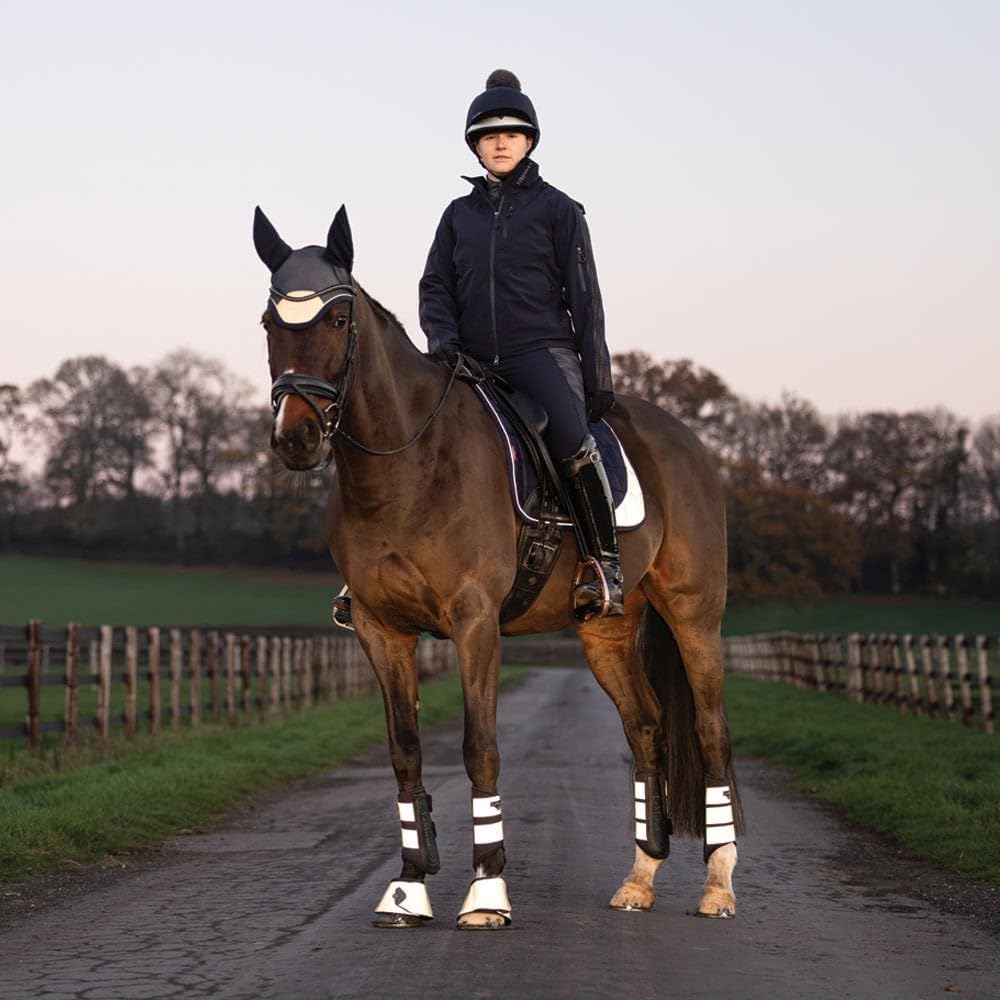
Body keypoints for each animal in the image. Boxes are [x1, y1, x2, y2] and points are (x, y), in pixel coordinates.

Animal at [253, 204, 744, 929]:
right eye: (268, 322)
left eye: (337, 320)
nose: (296, 436)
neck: (407, 466)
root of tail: (686, 441)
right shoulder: (381, 629)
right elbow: (405, 752)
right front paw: (408, 889)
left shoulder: (474, 621)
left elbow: (478, 747)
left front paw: (486, 895)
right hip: (606, 630)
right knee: (647, 726)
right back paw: (640, 877)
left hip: (693, 616)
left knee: (711, 732)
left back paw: (718, 886)